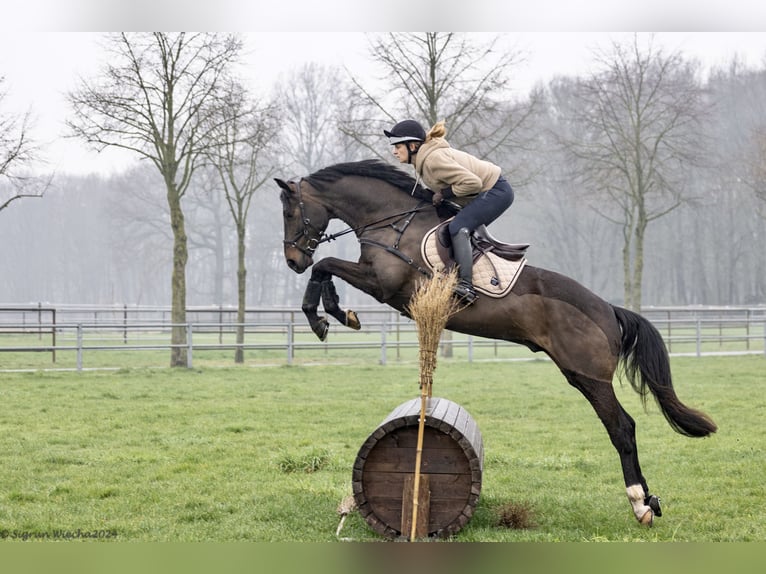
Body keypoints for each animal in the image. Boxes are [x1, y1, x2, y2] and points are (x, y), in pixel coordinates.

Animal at [276, 160, 720, 528]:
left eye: (289, 212)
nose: (292, 262)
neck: (393, 223)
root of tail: (609, 310)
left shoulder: (385, 285)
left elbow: (325, 266)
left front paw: (325, 316)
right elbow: (325, 269)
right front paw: (336, 313)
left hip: (588, 376)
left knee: (622, 428)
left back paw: (641, 503)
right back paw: (649, 500)